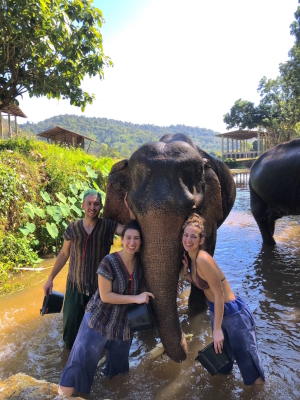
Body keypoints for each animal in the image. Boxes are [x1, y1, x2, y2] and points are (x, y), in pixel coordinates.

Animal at [103, 134, 237, 362]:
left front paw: (196, 311)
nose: (186, 346)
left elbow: (206, 249)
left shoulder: (210, 213)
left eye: (192, 209)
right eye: (132, 207)